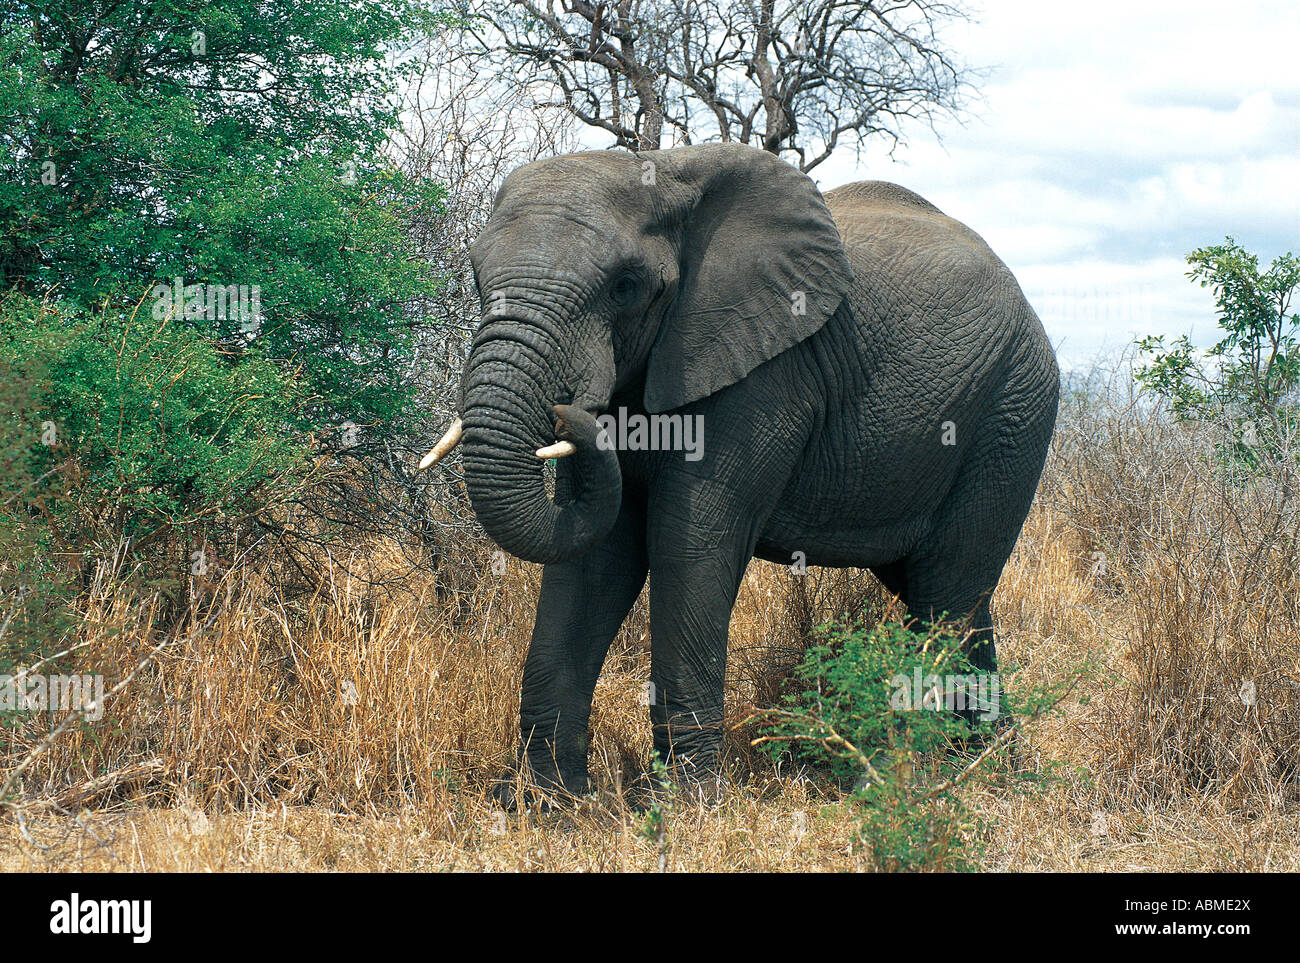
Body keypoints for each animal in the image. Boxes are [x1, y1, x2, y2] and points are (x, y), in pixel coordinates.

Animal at [421, 141, 1060, 795]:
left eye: (626, 286)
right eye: (476, 275)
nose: (567, 410)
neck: (667, 173)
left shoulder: (764, 373)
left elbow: (689, 542)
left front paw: (685, 803)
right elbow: (594, 556)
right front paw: (551, 800)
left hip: (1012, 408)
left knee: (945, 592)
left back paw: (916, 780)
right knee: (952, 592)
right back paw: (992, 768)